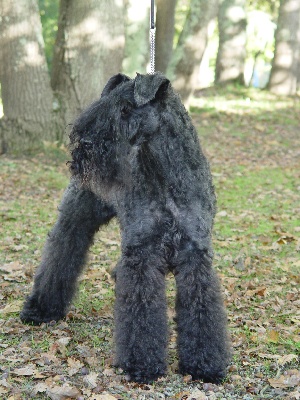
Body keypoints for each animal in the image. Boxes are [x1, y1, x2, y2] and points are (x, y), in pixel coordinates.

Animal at [21, 72, 231, 384]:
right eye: (105, 104)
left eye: (125, 109)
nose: (84, 143)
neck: (165, 174)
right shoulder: (142, 251)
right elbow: (141, 309)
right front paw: (141, 364)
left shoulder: (195, 253)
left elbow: (201, 307)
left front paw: (204, 365)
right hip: (76, 220)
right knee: (60, 254)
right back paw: (40, 309)